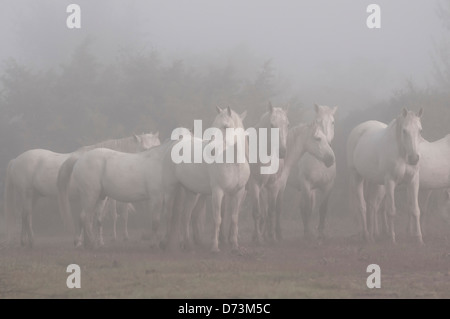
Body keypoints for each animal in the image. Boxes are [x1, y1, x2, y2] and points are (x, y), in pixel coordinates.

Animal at [3, 132, 158, 248]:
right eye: (145, 148)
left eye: (157, 146)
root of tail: (16, 160)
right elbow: (88, 218)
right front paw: (81, 241)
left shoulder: (99, 198)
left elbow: (96, 219)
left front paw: (96, 241)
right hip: (27, 194)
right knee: (26, 215)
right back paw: (31, 241)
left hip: (34, 196)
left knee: (25, 216)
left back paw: (25, 241)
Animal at [163, 107, 250, 252]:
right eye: (213, 126)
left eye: (226, 126)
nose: (212, 151)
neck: (234, 163)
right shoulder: (218, 192)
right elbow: (217, 219)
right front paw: (214, 246)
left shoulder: (239, 192)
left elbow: (234, 218)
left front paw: (234, 244)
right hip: (173, 189)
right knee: (169, 214)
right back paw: (166, 243)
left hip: (192, 193)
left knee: (185, 216)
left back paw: (187, 244)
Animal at [288, 104, 338, 239]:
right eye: (317, 121)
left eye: (332, 122)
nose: (329, 158)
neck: (319, 163)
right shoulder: (306, 184)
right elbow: (308, 209)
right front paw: (309, 233)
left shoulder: (328, 186)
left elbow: (323, 208)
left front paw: (321, 232)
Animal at [346, 108, 424, 245]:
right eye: (404, 131)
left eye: (420, 130)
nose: (414, 158)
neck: (401, 153)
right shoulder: (390, 182)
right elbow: (391, 211)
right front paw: (392, 239)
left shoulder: (413, 180)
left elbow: (415, 209)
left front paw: (419, 239)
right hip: (357, 177)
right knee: (362, 206)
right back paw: (366, 235)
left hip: (375, 182)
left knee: (372, 205)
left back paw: (373, 236)